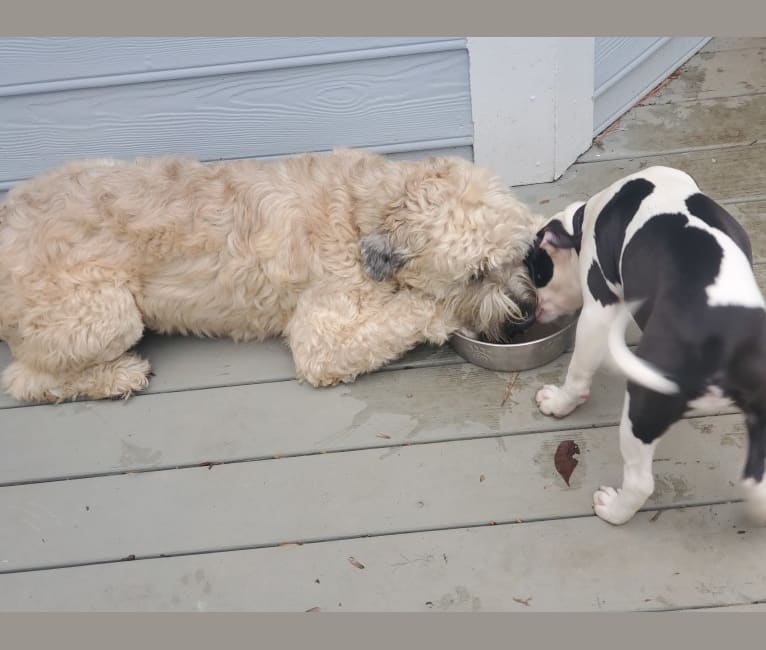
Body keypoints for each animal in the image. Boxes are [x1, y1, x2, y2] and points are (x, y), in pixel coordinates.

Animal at [0, 148, 540, 400]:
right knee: (25, 380)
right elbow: (409, 312)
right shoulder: (323, 339)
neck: (363, 211)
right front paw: (445, 316)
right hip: (104, 314)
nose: (526, 312)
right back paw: (120, 375)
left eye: (515, 256)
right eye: (474, 275)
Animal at [528, 165, 766, 524]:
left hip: (642, 407)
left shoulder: (597, 311)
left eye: (537, 272)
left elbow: (579, 371)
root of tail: (728, 347)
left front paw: (559, 402)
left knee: (641, 482)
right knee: (756, 486)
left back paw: (613, 509)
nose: (530, 307)